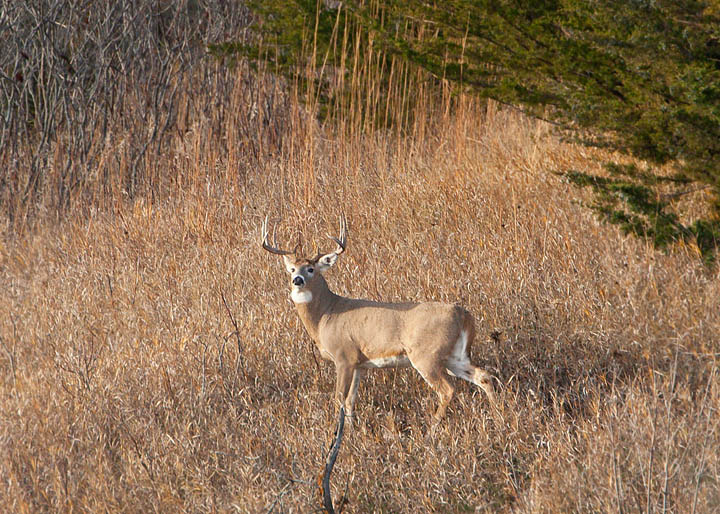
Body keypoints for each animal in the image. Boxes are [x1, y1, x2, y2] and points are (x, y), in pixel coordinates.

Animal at [262, 214, 498, 422]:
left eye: (311, 269)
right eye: (292, 269)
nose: (297, 280)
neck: (325, 316)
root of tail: (463, 314)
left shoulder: (344, 355)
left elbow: (339, 399)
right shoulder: (359, 364)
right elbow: (350, 401)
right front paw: (351, 433)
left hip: (426, 354)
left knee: (447, 390)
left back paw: (433, 426)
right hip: (454, 355)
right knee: (483, 376)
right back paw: (499, 415)